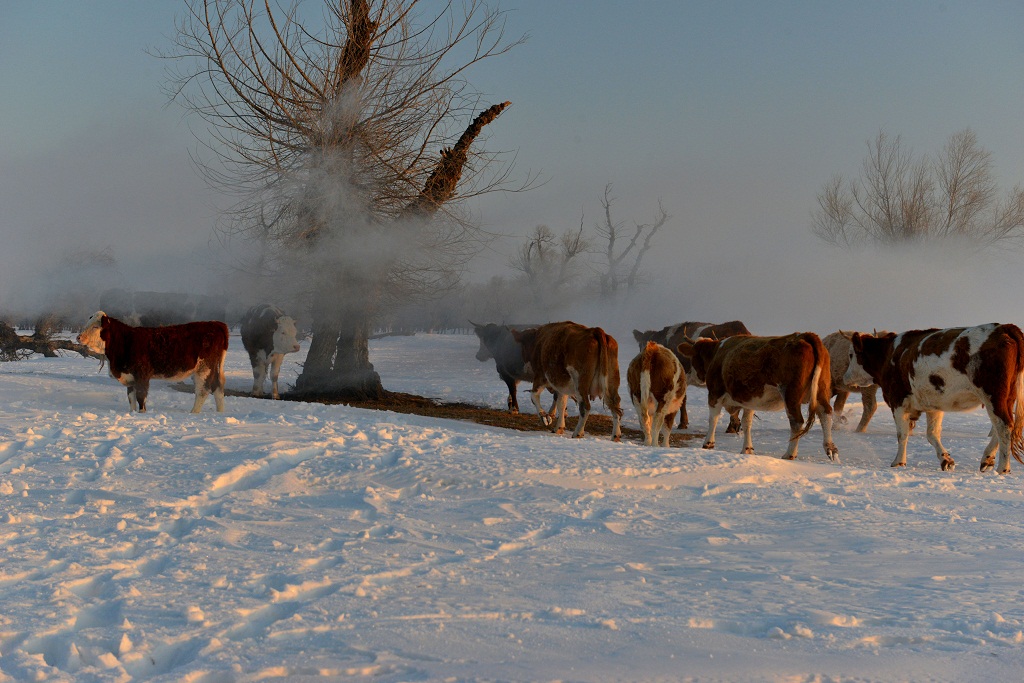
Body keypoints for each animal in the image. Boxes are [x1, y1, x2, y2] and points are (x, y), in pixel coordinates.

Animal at [75, 313, 228, 413]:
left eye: (95, 327)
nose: (78, 337)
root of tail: (216, 323)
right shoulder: (130, 378)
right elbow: (131, 398)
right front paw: (132, 413)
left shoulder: (142, 375)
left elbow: (140, 397)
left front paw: (141, 414)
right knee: (218, 388)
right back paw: (220, 412)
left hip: (204, 368)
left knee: (203, 390)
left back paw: (194, 412)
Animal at [675, 331, 835, 462]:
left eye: (694, 357)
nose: (691, 376)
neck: (717, 353)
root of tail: (804, 335)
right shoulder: (749, 401)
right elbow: (747, 423)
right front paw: (747, 449)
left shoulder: (715, 393)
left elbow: (713, 419)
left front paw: (708, 443)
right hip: (821, 390)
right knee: (825, 413)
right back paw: (830, 449)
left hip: (791, 394)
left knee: (797, 421)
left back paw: (789, 454)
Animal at [843, 325, 1024, 475]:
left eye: (851, 354)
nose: (845, 377)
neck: (890, 354)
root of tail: (1003, 327)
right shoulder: (933, 405)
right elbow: (932, 434)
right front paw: (946, 460)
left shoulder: (898, 400)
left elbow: (902, 434)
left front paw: (898, 462)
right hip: (1007, 397)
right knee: (1003, 426)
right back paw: (987, 459)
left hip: (993, 395)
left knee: (1004, 427)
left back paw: (1003, 468)